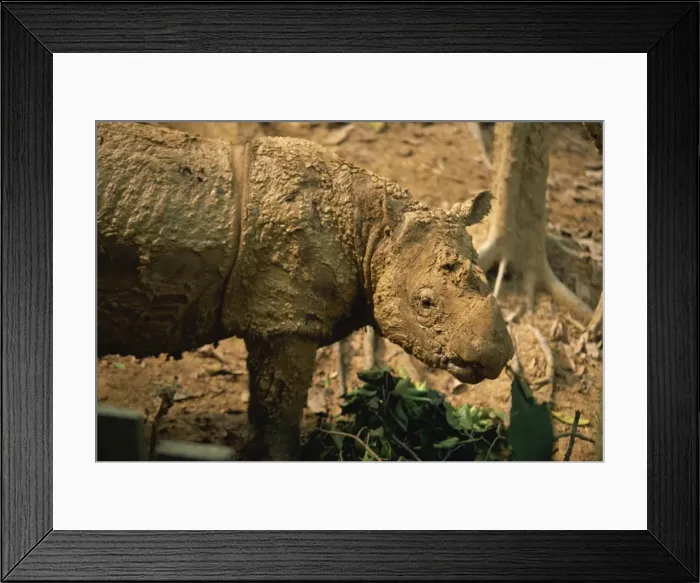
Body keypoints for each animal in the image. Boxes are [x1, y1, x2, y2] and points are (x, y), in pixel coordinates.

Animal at [97, 122, 514, 460]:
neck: (370, 234)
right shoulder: (288, 319)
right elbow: (281, 407)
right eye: (425, 303)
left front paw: (253, 450)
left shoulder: (276, 317)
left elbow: (263, 399)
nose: (496, 357)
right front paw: (284, 456)